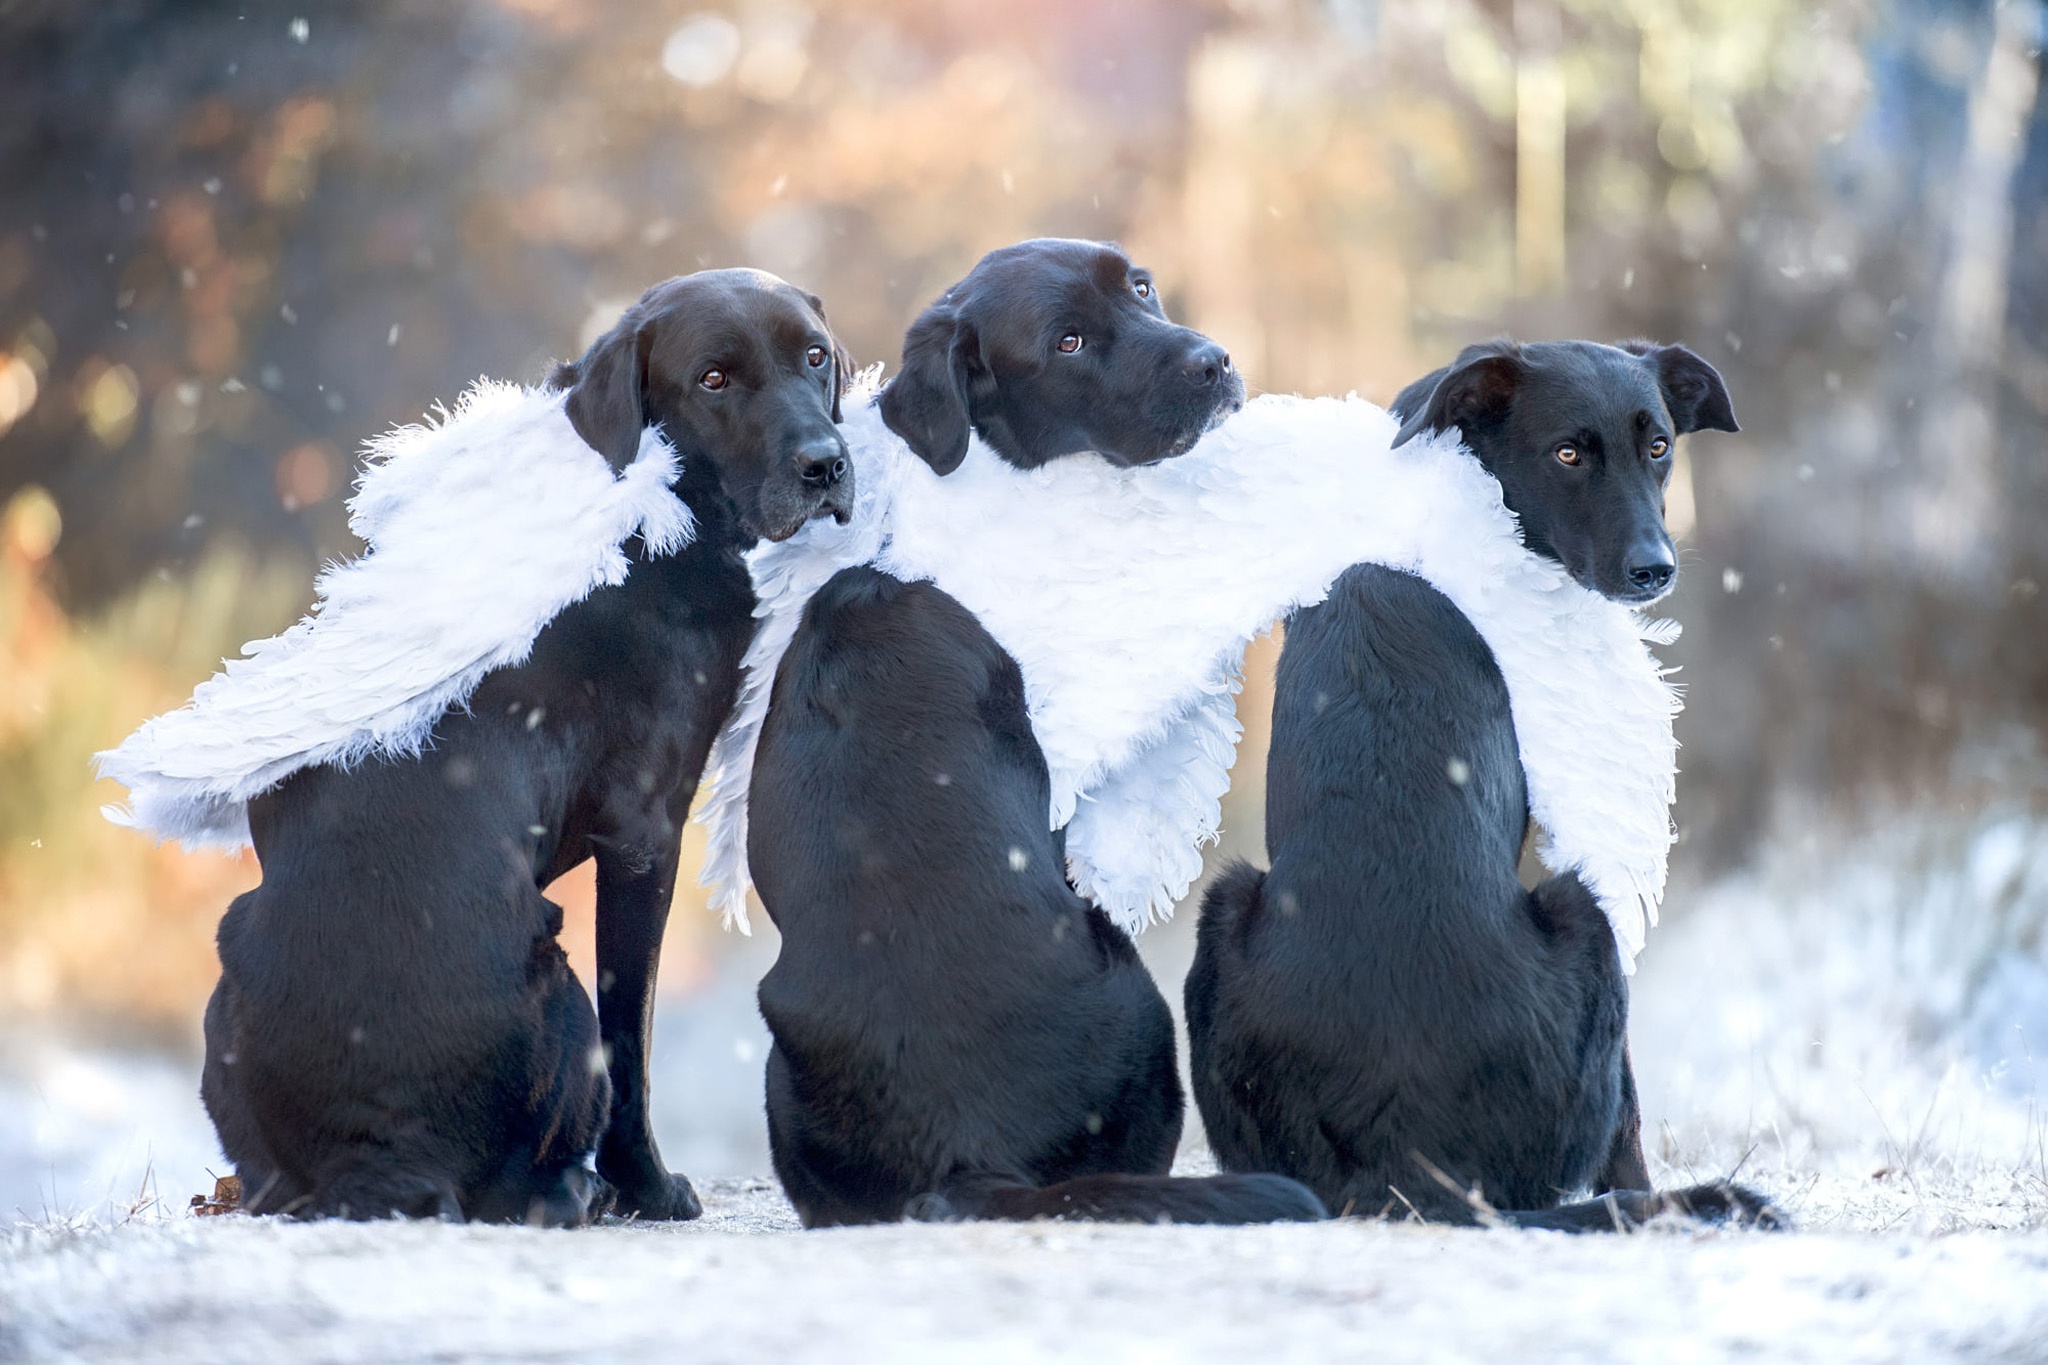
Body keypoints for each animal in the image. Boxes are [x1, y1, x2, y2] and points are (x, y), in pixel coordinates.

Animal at [195, 266, 851, 1227]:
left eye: (813, 357)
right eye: (713, 380)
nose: (827, 464)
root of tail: (386, 1153)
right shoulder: (645, 831)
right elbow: (633, 1037)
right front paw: (652, 1189)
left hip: (228, 960)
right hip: (558, 970)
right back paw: (584, 1187)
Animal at [1196, 339, 1769, 1227]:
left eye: (1659, 445)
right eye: (1567, 454)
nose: (1655, 569)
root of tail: (1408, 1165)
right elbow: (1632, 1117)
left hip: (1221, 918)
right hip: (1583, 913)